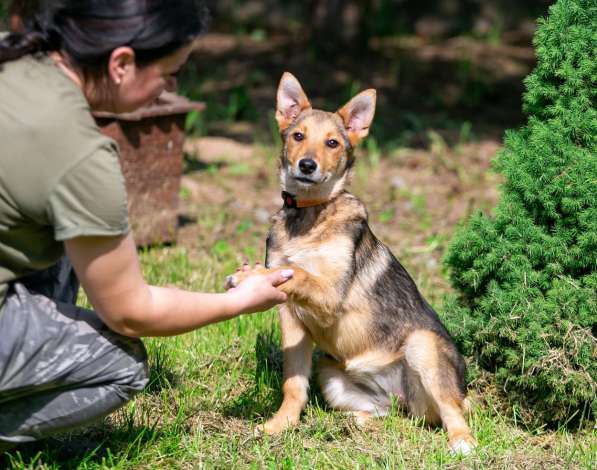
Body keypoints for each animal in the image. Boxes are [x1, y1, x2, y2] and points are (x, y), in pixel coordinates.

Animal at [227, 71, 474, 454]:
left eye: (332, 143)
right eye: (298, 136)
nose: (307, 165)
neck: (310, 215)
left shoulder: (330, 295)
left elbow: (296, 271)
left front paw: (251, 275)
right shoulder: (291, 318)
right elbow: (293, 383)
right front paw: (280, 426)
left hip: (424, 348)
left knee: (451, 412)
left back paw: (462, 443)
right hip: (331, 374)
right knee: (394, 416)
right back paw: (351, 422)